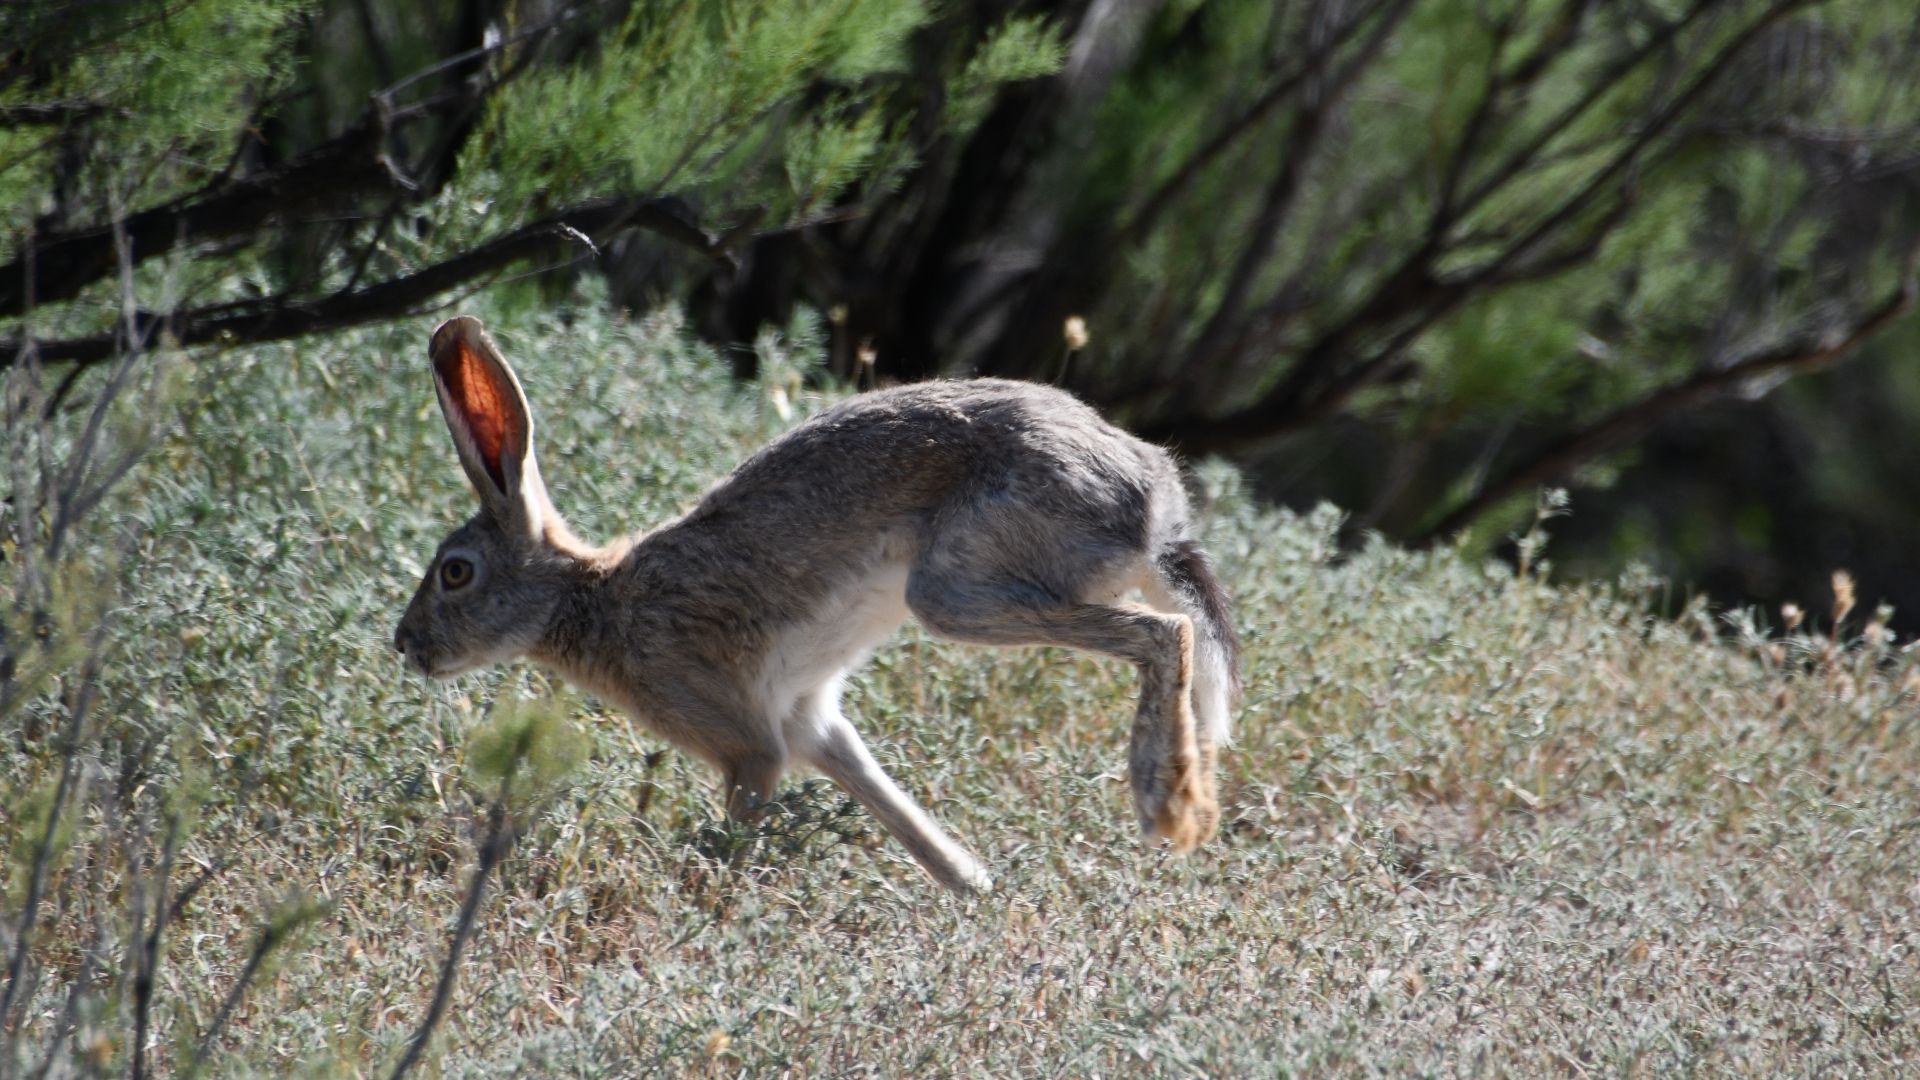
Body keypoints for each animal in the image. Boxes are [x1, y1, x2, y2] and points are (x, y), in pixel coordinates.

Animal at [393, 316, 1239, 893]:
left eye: (456, 573)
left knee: (1165, 633)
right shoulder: (811, 725)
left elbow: (741, 820)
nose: (406, 645)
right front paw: (974, 887)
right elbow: (903, 818)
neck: (590, 599)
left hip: (956, 591)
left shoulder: (744, 743)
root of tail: (1155, 504)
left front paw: (710, 906)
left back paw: (1169, 807)